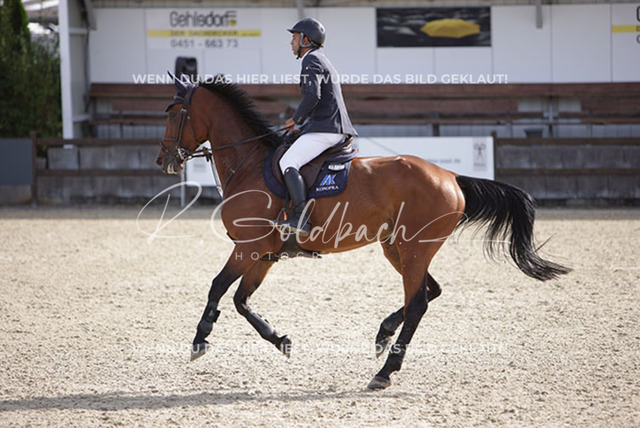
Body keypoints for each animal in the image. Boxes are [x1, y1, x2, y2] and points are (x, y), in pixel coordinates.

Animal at [155, 77, 570, 389]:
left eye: (174, 113)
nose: (164, 160)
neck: (250, 165)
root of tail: (451, 177)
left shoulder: (247, 248)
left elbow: (217, 286)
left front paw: (200, 339)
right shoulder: (264, 254)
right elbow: (242, 300)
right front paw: (280, 340)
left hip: (413, 249)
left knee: (419, 303)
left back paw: (384, 372)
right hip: (397, 248)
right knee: (429, 292)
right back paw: (383, 334)